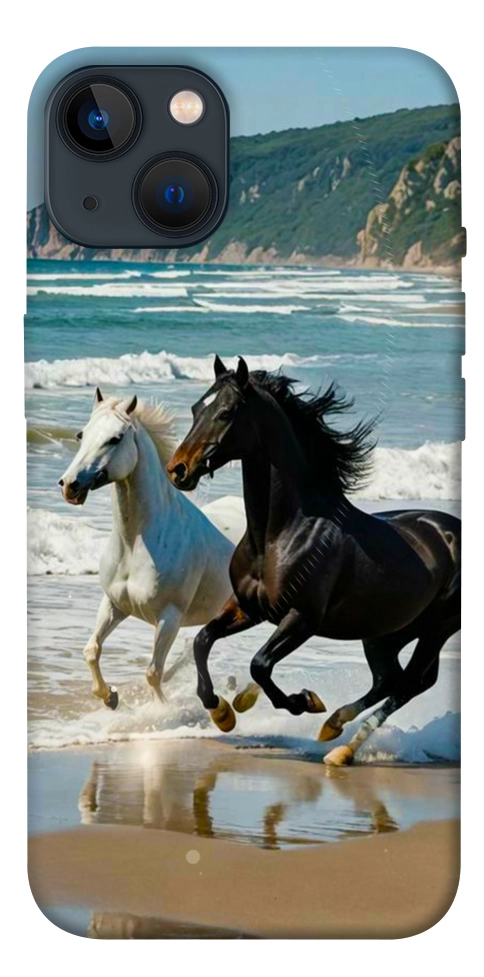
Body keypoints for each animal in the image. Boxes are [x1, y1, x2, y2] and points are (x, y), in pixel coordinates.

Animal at [59, 388, 234, 709]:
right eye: (81, 434)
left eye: (115, 438)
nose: (69, 485)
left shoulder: (169, 618)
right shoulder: (114, 604)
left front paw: (161, 711)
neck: (135, 544)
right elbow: (91, 650)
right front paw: (110, 697)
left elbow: (153, 672)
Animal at [166, 356, 461, 765]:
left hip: (437, 628)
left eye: (225, 413)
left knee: (411, 683)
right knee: (390, 679)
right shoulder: (248, 608)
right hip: (386, 632)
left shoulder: (302, 618)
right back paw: (334, 729)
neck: (280, 534)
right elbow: (202, 640)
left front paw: (303, 701)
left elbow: (260, 664)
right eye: (197, 408)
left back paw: (341, 746)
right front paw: (223, 711)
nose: (177, 469)